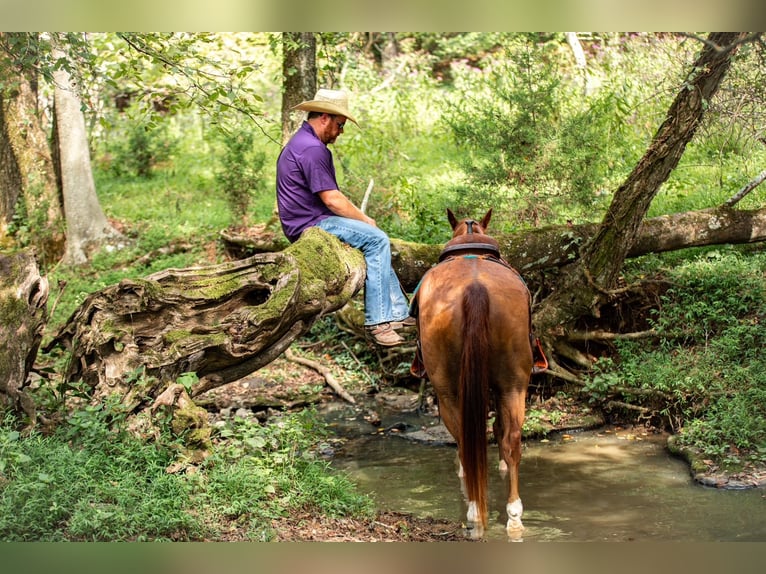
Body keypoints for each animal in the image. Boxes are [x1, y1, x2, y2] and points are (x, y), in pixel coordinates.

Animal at [412, 208, 533, 540]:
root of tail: (475, 287)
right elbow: (500, 430)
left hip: (447, 391)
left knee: (465, 441)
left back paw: (475, 512)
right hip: (513, 384)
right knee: (512, 439)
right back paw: (513, 515)